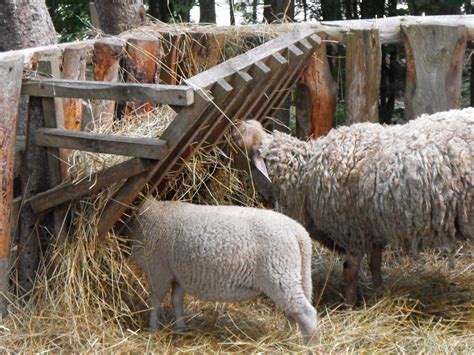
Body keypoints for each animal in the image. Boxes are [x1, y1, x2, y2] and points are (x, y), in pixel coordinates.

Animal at [125, 200, 318, 344]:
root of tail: (298, 232)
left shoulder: (158, 270)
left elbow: (155, 302)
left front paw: (152, 329)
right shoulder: (178, 274)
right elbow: (176, 300)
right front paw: (181, 327)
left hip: (279, 273)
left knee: (307, 314)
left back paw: (308, 346)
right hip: (292, 276)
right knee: (293, 312)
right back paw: (288, 336)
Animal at [234, 107, 474, 304]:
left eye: (242, 147)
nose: (236, 121)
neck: (305, 174)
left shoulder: (351, 229)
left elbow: (350, 270)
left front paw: (350, 304)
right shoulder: (371, 226)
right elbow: (375, 263)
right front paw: (378, 291)